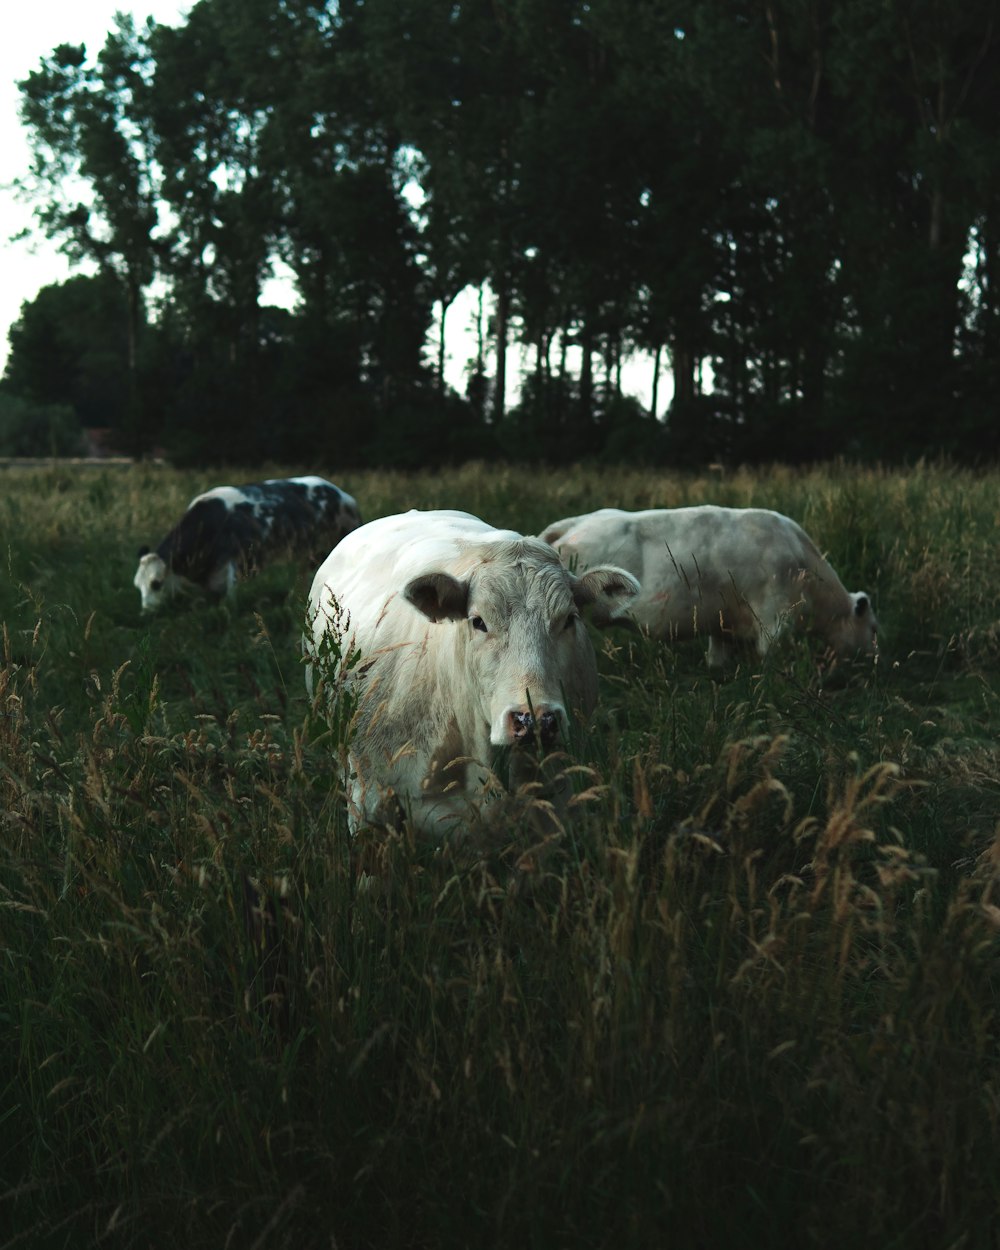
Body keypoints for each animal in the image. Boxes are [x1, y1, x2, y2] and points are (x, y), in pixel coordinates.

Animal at [135, 475, 362, 612]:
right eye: (138, 586)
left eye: (156, 583)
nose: (146, 612)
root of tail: (343, 496)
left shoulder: (235, 562)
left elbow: (230, 600)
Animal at [540, 502, 875, 670]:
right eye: (872, 628)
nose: (874, 661)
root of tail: (575, 524)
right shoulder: (774, 621)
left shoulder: (722, 624)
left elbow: (717, 663)